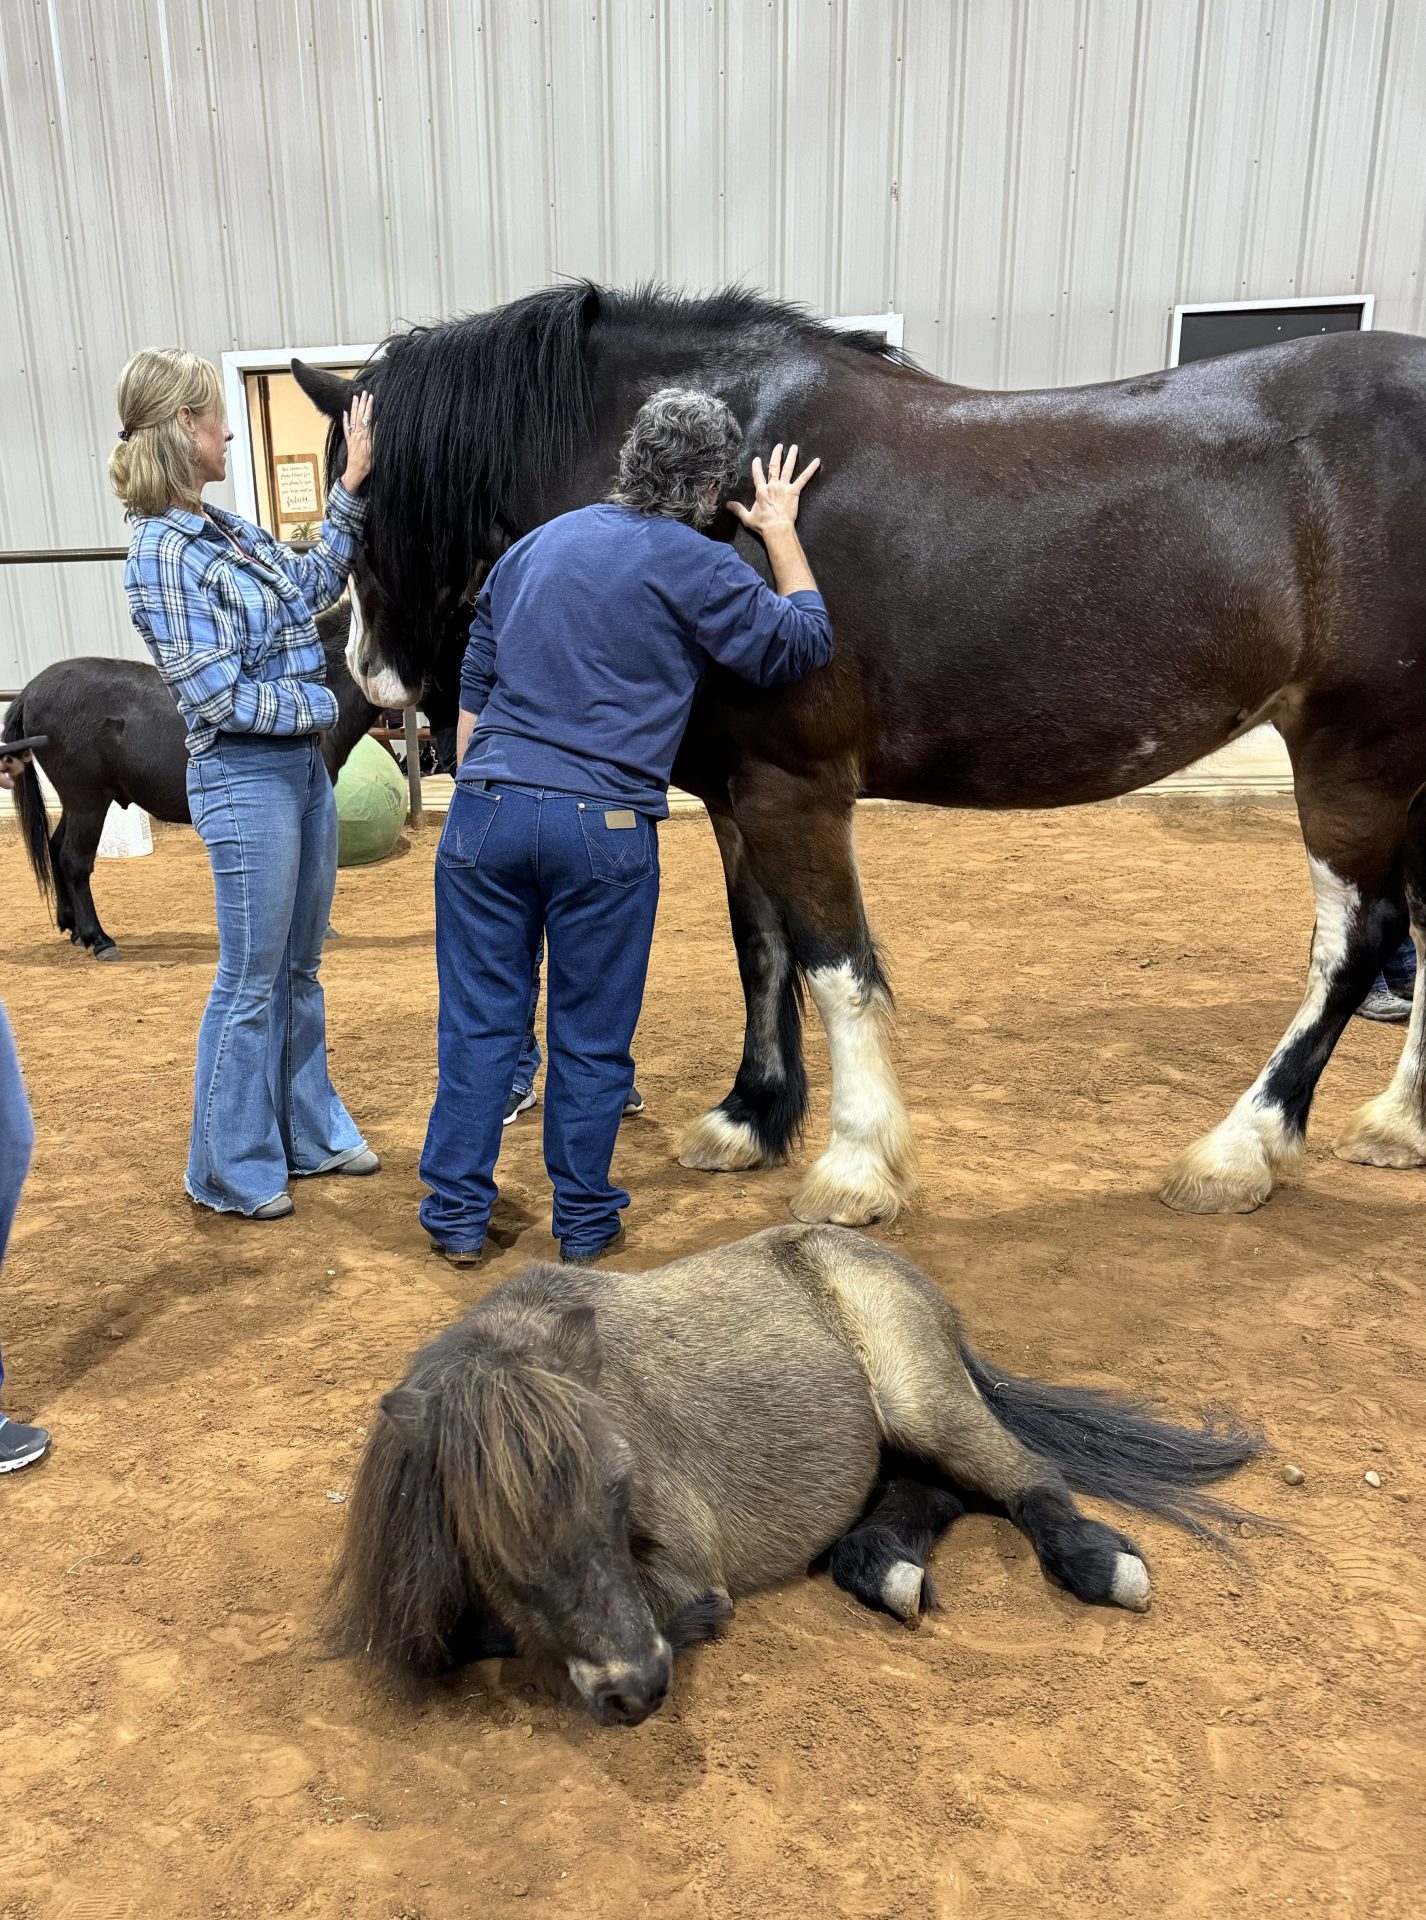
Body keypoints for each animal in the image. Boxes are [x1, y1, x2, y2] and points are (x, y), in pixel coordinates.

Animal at [1, 602, 380, 956]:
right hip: (88, 800)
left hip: (79, 801)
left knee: (55, 847)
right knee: (73, 861)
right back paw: (98, 939)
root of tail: (30, 691)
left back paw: (73, 928)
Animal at [293, 284, 1426, 1213]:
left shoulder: (794, 791)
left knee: (1355, 942)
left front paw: (855, 1166)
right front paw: (749, 1120)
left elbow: (835, 965)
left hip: (1354, 756)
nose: (371, 676)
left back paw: (1238, 1152)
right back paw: (1397, 1124)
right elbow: (762, 951)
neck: (724, 498)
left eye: (367, 503)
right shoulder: (735, 796)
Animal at [332, 1228, 1259, 1728]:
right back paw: (886, 1571)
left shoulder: (683, 1579)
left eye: (621, 1487)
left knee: (1026, 1477)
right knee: (932, 1494)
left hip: (920, 1401)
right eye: (486, 1540)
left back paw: (1103, 1567)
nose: (640, 1687)